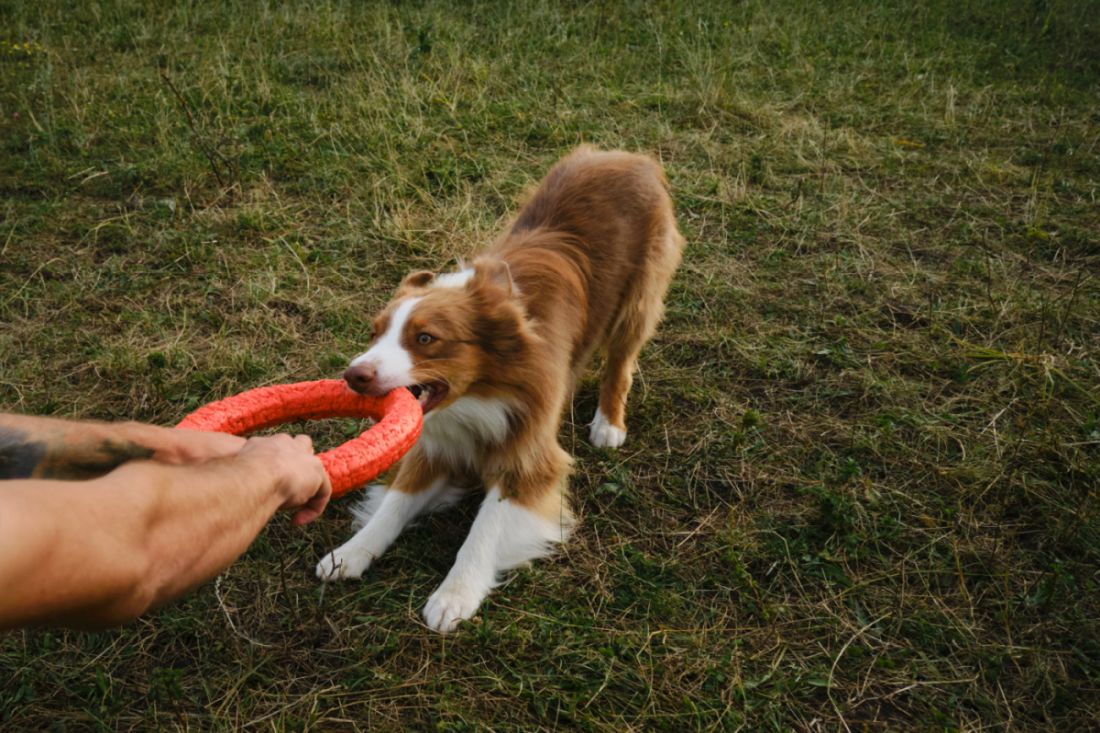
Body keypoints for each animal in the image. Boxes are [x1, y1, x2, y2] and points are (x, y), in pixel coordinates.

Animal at [314, 145, 682, 629]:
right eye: (375, 333)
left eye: (426, 339)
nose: (353, 376)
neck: (477, 398)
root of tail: (628, 155)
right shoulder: (436, 447)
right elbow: (395, 502)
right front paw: (350, 553)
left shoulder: (532, 457)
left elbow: (484, 528)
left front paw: (455, 595)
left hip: (639, 296)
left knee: (621, 360)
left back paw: (608, 423)